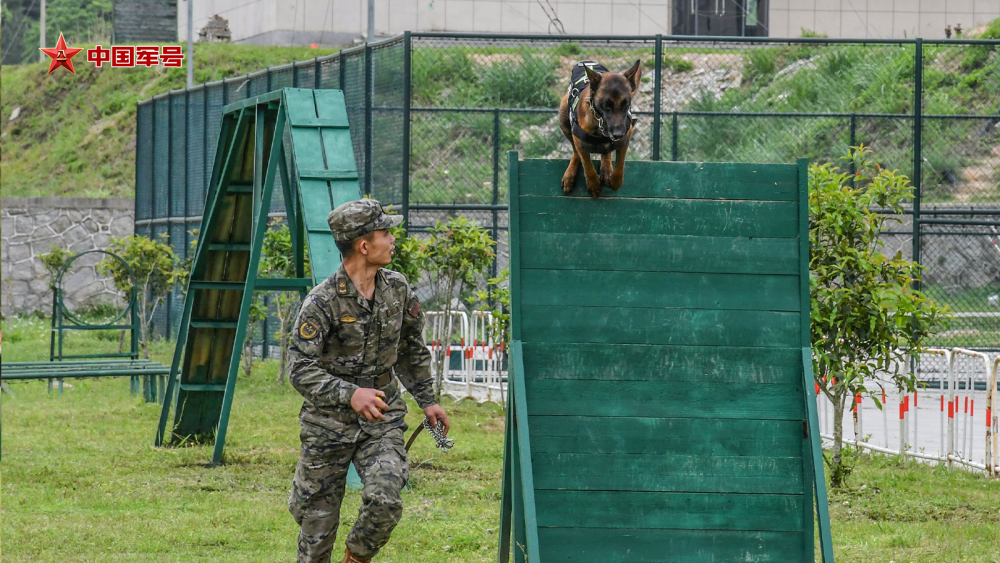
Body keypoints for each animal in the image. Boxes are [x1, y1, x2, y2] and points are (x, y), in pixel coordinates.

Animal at [556, 60, 640, 198]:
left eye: (626, 104)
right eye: (606, 104)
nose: (618, 134)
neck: (601, 124)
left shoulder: (624, 141)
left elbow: (619, 169)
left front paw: (614, 180)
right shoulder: (579, 142)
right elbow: (587, 165)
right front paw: (593, 185)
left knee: (605, 153)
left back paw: (606, 168)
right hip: (563, 117)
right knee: (576, 153)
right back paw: (570, 175)